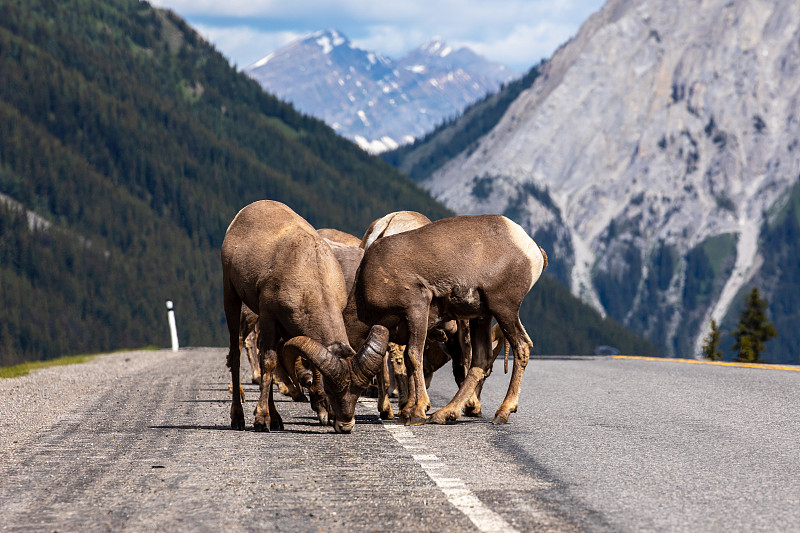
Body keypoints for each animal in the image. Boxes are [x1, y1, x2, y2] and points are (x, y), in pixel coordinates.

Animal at [222, 200, 390, 432]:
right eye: (329, 389)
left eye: (358, 390)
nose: (345, 425)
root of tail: (246, 211)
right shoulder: (268, 318)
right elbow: (269, 363)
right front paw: (261, 420)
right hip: (231, 295)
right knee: (237, 354)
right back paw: (238, 418)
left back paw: (277, 420)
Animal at [346, 212, 548, 424]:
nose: (342, 420)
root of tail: (532, 248)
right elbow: (411, 362)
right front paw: (408, 411)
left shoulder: (418, 308)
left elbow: (414, 357)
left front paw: (417, 412)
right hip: (482, 316)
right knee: (481, 359)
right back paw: (444, 413)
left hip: (504, 309)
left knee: (522, 347)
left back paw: (501, 412)